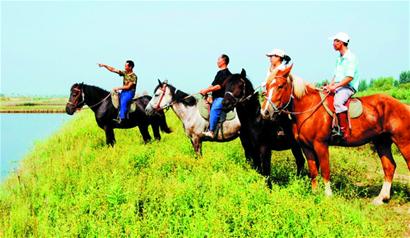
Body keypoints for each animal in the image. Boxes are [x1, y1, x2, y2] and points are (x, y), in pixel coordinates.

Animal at [262, 65, 410, 205]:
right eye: (267, 86)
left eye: (280, 86)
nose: (265, 112)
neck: (308, 107)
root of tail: (404, 106)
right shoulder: (306, 147)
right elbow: (313, 171)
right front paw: (315, 194)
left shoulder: (321, 145)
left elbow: (325, 170)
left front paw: (328, 195)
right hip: (382, 142)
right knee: (389, 167)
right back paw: (381, 198)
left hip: (403, 143)